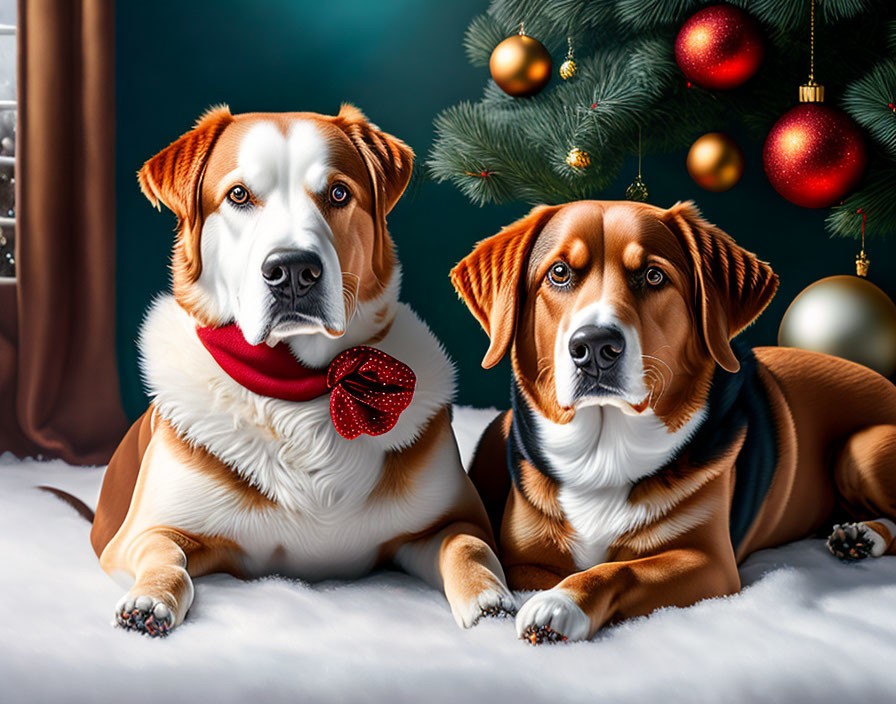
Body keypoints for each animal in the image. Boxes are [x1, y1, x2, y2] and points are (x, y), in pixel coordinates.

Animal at [93, 106, 512, 640]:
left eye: (338, 194)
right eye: (238, 195)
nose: (293, 271)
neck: (298, 388)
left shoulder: (455, 520)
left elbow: (469, 546)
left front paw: (489, 601)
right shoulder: (140, 534)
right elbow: (163, 554)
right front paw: (150, 599)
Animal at [452, 199, 896, 644]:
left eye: (653, 275)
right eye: (559, 273)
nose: (594, 346)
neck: (604, 450)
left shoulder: (709, 562)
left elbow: (619, 570)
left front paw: (560, 603)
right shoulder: (521, 561)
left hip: (861, 449)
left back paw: (866, 535)